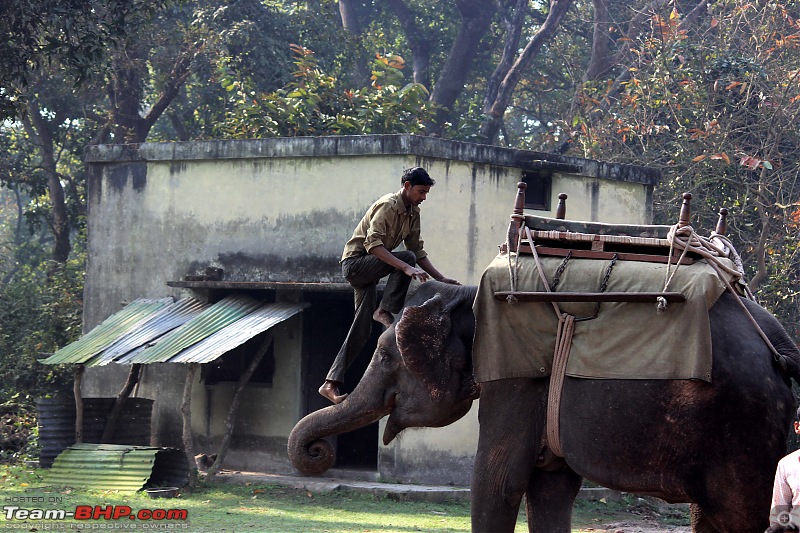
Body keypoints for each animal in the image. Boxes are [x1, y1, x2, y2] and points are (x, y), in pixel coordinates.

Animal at [288, 280, 800, 528]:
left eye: (385, 355)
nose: (317, 451)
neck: (467, 294)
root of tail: (780, 350)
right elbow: (550, 489)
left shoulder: (516, 381)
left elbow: (498, 484)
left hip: (742, 428)